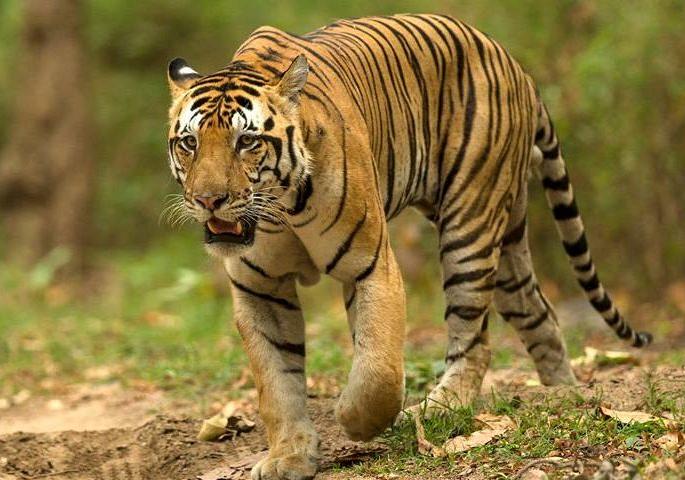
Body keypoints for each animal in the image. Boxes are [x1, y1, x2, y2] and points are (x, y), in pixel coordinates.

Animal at [165, 13, 652, 480]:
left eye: (246, 141)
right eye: (190, 142)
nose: (208, 199)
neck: (282, 207)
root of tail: (518, 68)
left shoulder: (370, 266)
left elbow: (377, 370)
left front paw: (356, 421)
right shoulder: (260, 289)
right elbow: (276, 384)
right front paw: (289, 456)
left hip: (470, 223)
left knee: (476, 338)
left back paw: (438, 409)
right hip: (508, 235)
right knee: (538, 313)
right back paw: (562, 395)